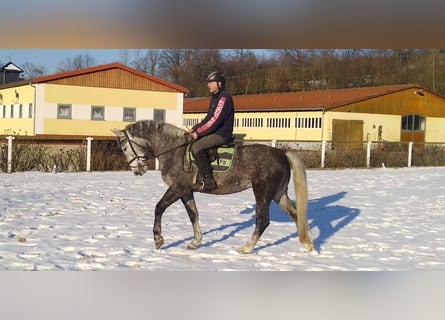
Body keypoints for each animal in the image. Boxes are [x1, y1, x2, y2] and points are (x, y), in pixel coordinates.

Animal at [111, 120, 312, 255]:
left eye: (124, 147)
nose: (137, 170)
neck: (173, 150)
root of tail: (282, 153)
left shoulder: (177, 188)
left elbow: (159, 207)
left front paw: (158, 239)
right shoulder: (186, 191)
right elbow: (193, 214)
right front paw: (195, 242)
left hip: (262, 192)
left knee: (262, 220)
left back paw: (246, 248)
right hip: (278, 194)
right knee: (296, 214)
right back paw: (308, 244)